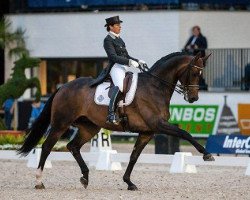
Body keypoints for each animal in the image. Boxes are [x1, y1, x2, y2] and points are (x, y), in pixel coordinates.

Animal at [19, 51, 215, 191]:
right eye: (194, 72)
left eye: (201, 74)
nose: (194, 98)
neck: (155, 87)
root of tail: (63, 87)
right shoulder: (158, 125)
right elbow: (184, 133)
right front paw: (207, 154)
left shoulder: (147, 132)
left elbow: (134, 156)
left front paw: (129, 182)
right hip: (61, 124)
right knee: (46, 147)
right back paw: (39, 181)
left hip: (89, 128)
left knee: (72, 146)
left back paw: (85, 177)